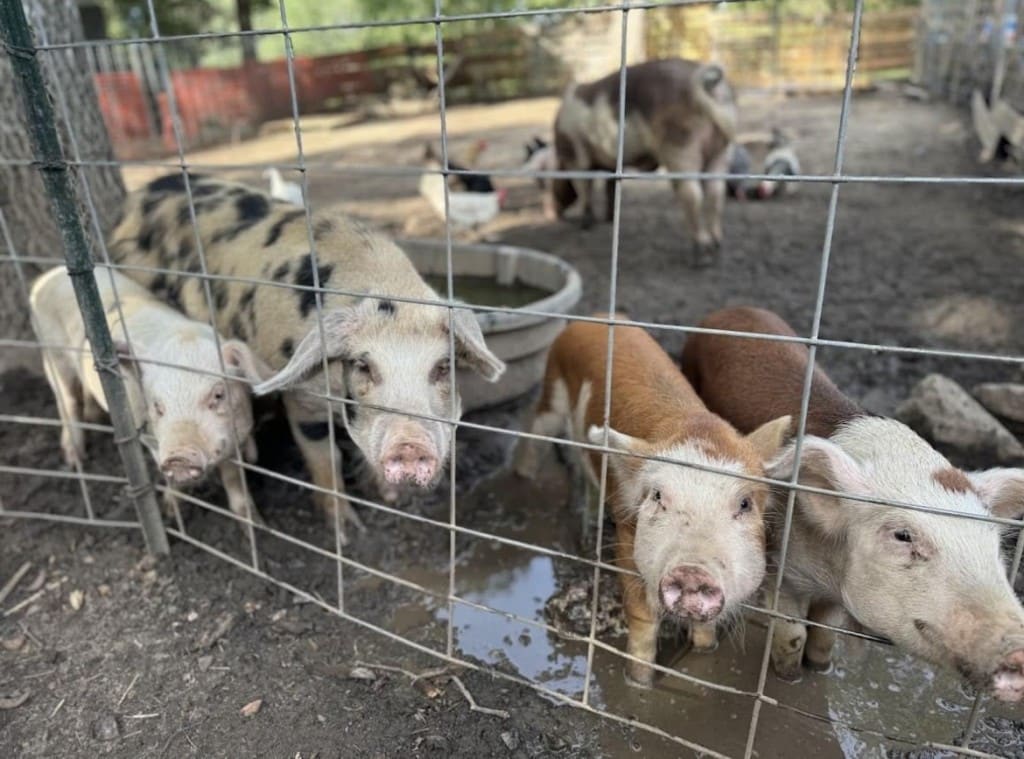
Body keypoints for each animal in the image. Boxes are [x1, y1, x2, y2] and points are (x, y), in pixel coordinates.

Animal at [30, 266, 268, 522]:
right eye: (157, 406)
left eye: (218, 395)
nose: (178, 456)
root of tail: (48, 275)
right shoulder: (150, 438)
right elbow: (171, 478)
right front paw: (170, 513)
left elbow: (234, 476)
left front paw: (254, 521)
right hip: (52, 354)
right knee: (68, 401)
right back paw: (75, 460)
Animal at [107, 173, 504, 542]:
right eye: (363, 365)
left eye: (442, 367)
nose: (409, 444)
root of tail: (136, 198)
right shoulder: (302, 400)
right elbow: (327, 458)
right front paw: (348, 532)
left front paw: (390, 499)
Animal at [514, 315, 791, 687]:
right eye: (658, 496)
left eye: (745, 504)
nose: (692, 571)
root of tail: (597, 318)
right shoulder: (627, 531)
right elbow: (642, 613)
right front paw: (639, 680)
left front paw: (706, 649)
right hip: (552, 388)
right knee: (535, 428)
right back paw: (522, 476)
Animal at [550, 58, 737, 266]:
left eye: (553, 185)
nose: (555, 213)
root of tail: (709, 84)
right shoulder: (610, 165)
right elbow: (610, 189)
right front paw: (609, 219)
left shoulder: (576, 156)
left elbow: (584, 187)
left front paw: (585, 224)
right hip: (722, 148)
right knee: (716, 192)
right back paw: (717, 246)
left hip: (680, 143)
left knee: (692, 194)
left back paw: (702, 255)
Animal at [681, 306, 1024, 702]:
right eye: (902, 536)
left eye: (992, 544)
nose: (1019, 649)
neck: (828, 571)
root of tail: (730, 310)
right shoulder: (785, 567)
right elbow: (793, 632)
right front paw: (788, 679)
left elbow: (826, 633)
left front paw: (821, 669)